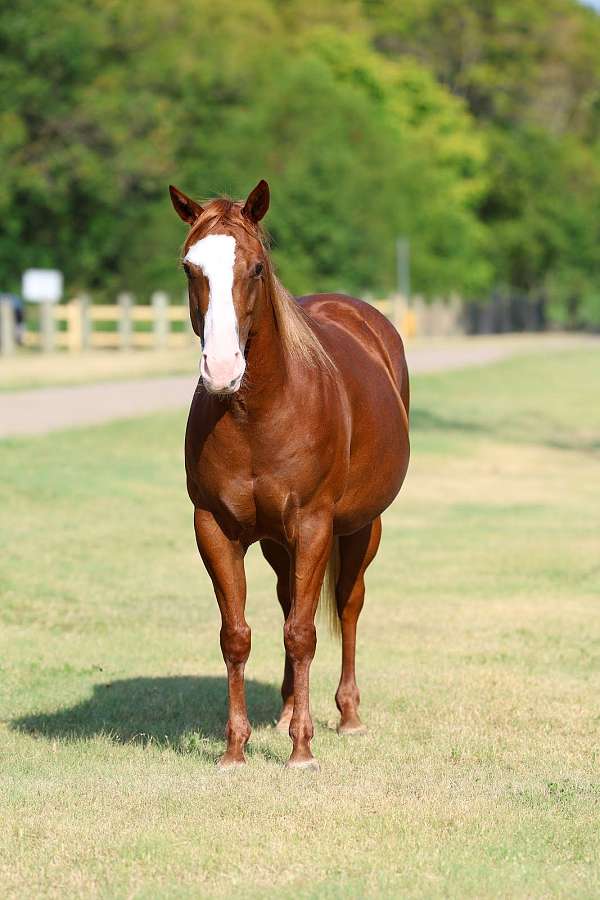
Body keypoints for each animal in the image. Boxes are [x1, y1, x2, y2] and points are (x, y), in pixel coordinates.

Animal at [169, 179, 410, 770]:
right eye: (190, 267)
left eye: (256, 267)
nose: (222, 369)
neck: (258, 413)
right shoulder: (214, 527)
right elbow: (237, 635)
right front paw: (235, 750)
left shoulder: (314, 525)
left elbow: (303, 633)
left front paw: (303, 749)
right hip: (278, 543)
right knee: (284, 601)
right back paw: (281, 714)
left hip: (361, 527)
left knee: (347, 604)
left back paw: (347, 715)